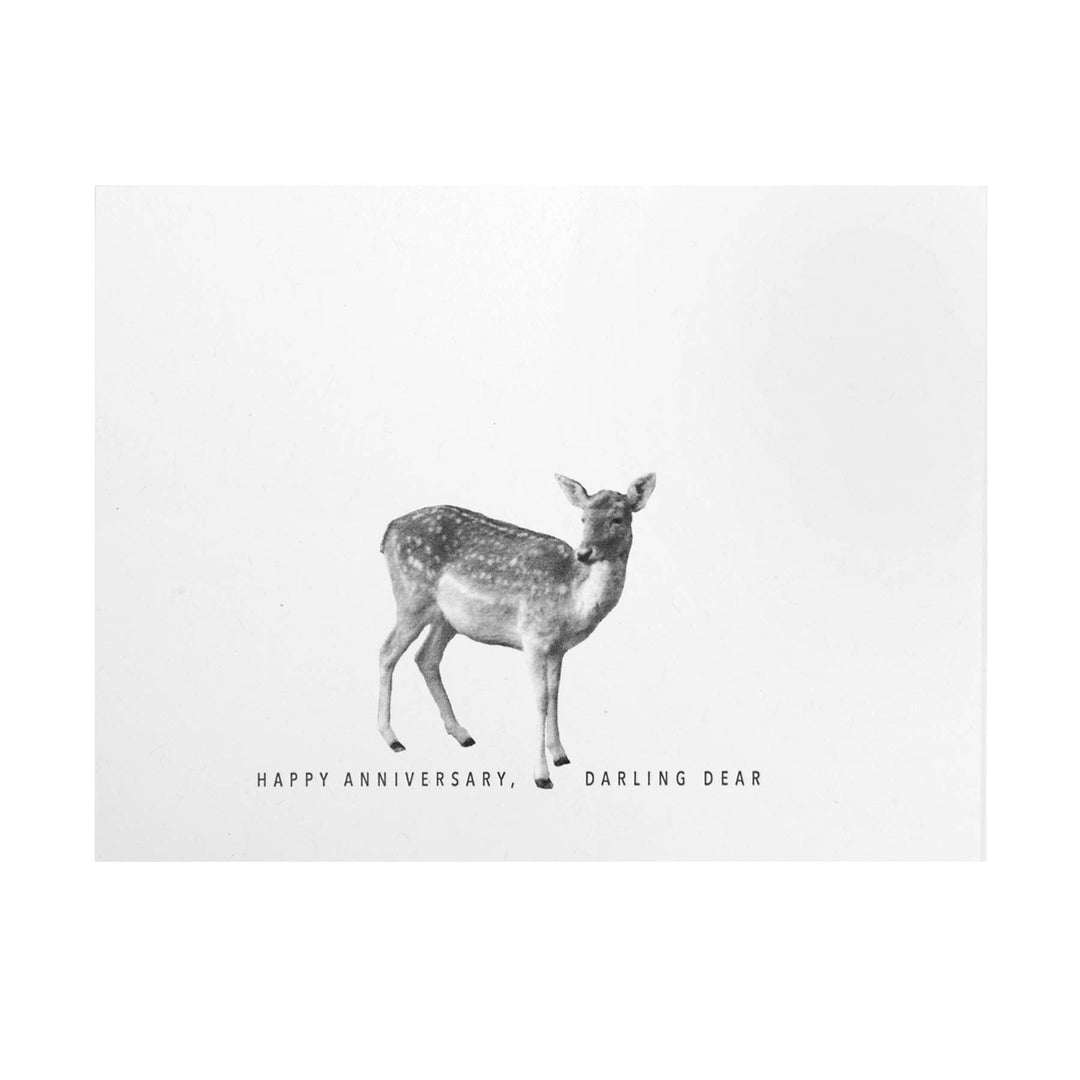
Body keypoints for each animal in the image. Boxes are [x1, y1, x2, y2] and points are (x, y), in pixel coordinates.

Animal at [376, 472, 656, 789]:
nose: (584, 553)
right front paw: (542, 775)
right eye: (583, 517)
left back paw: (462, 734)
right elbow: (540, 700)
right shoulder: (533, 638)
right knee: (387, 652)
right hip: (412, 598)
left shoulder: (558, 648)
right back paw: (392, 738)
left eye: (617, 518)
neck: (574, 600)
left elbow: (555, 694)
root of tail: (389, 530)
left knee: (426, 657)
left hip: (446, 618)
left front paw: (560, 754)